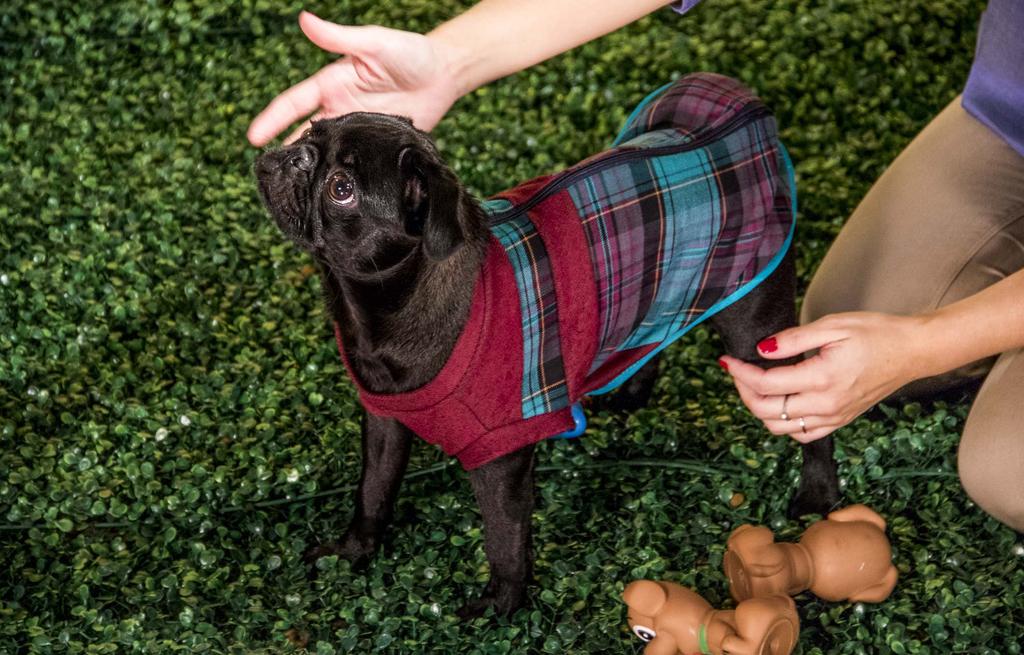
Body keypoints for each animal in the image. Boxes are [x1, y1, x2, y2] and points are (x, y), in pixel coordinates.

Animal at [256, 110, 839, 618]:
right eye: (310, 131)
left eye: (341, 188)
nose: (294, 156)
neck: (383, 309)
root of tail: (751, 118)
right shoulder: (385, 424)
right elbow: (372, 493)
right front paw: (353, 552)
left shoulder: (501, 459)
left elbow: (505, 540)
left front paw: (500, 607)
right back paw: (631, 392)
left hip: (754, 328)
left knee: (809, 405)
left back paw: (819, 495)